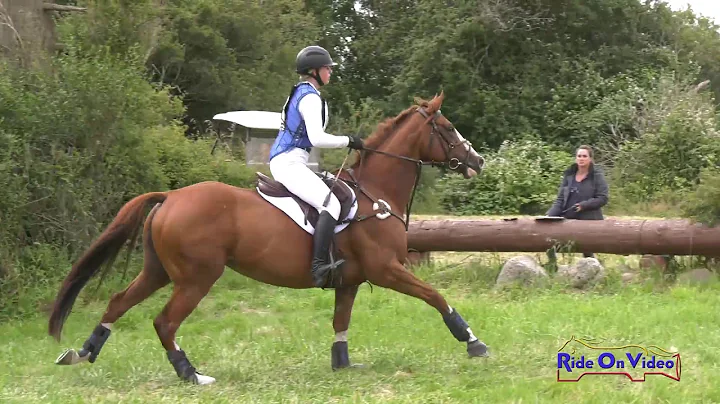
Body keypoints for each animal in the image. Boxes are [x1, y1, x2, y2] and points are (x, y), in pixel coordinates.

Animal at [47, 92, 490, 386]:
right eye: (447, 128)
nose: (478, 161)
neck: (374, 193)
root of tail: (170, 197)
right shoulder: (386, 270)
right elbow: (436, 297)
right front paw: (473, 342)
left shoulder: (350, 280)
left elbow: (341, 322)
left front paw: (343, 363)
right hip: (197, 277)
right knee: (165, 321)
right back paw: (192, 374)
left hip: (159, 271)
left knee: (119, 302)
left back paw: (83, 352)